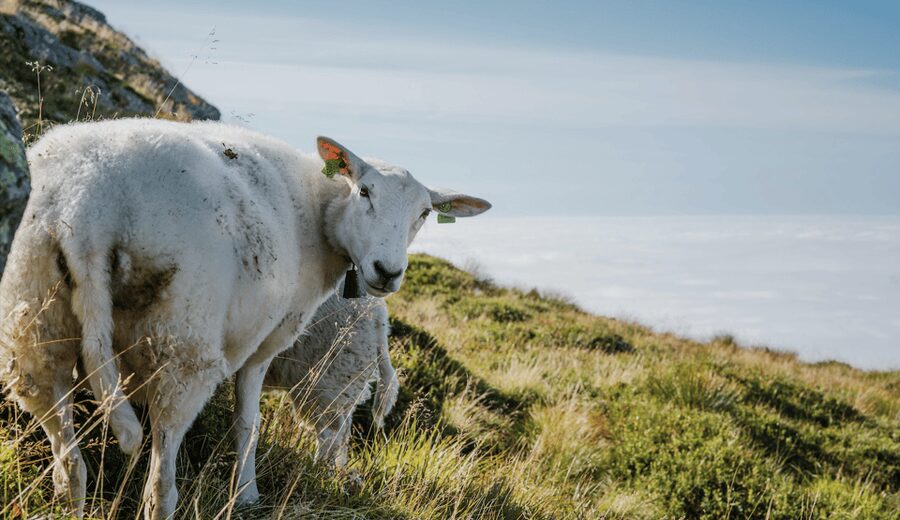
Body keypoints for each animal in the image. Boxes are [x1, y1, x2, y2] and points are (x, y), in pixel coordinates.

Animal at [264, 294, 398, 469]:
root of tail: (378, 315)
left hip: (324, 380)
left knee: (330, 433)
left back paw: (314, 469)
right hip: (342, 382)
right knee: (344, 430)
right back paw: (336, 469)